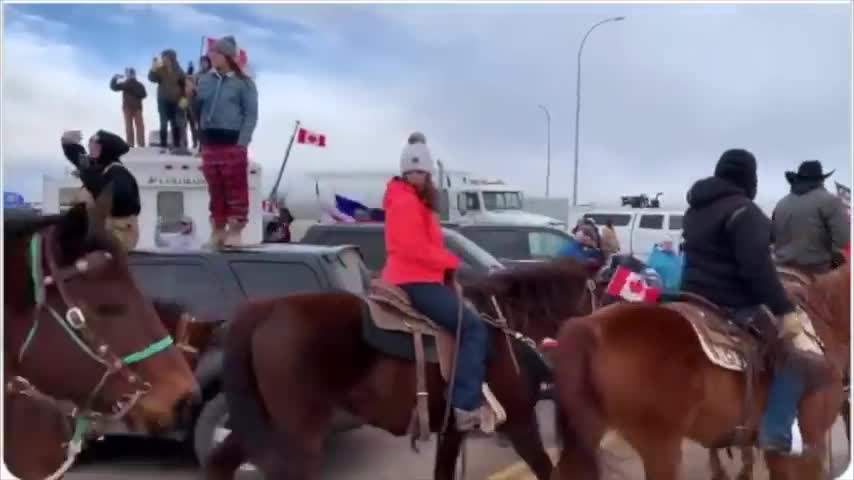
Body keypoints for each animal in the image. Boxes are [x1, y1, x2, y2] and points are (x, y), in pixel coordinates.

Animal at [204, 258, 600, 480]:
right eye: (603, 295)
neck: (505, 325)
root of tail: (262, 309)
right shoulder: (519, 421)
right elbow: (547, 470)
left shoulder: (452, 430)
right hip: (298, 434)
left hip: (262, 423)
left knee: (220, 462)